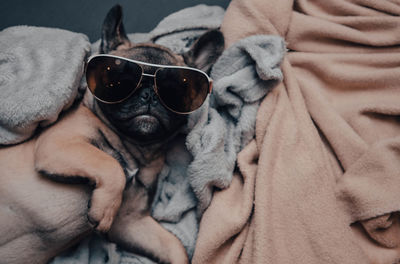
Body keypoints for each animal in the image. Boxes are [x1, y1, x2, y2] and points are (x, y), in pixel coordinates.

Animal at [0, 4, 225, 264]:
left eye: (176, 89)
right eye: (119, 81)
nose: (149, 94)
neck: (134, 146)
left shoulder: (131, 221)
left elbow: (173, 245)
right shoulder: (60, 144)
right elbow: (111, 165)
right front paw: (105, 207)